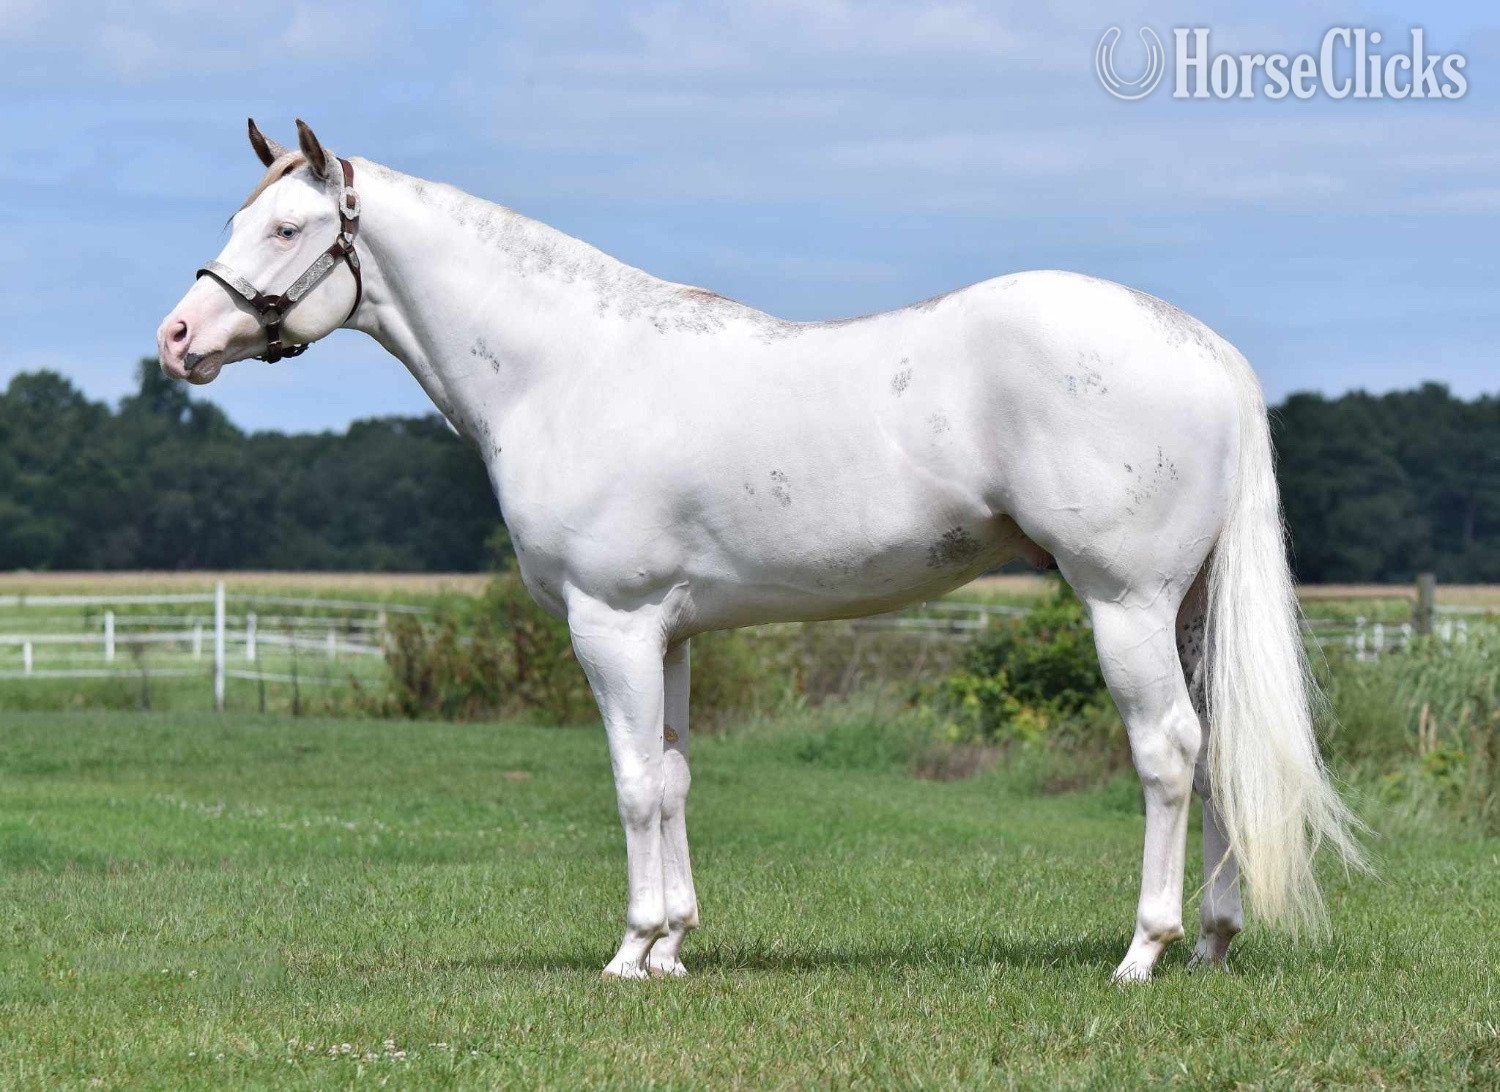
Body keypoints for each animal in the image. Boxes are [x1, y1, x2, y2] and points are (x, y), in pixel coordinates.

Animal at [158, 119, 1362, 982]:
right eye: (239, 216)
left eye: (285, 231)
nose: (177, 340)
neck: (567, 370)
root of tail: (1205, 349)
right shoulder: (670, 634)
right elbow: (677, 776)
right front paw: (675, 946)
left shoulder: (611, 625)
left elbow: (633, 785)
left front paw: (631, 951)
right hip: (1189, 607)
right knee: (1218, 751)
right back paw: (1213, 942)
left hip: (1125, 603)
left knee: (1167, 751)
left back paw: (1143, 953)